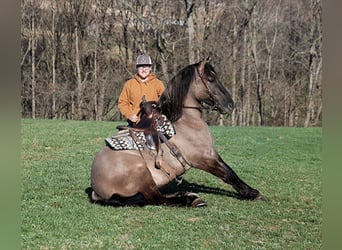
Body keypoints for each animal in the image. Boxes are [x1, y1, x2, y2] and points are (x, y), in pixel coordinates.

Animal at [89, 57, 264, 207]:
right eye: (211, 79)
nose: (229, 104)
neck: (186, 121)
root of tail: (96, 188)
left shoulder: (211, 153)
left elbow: (229, 170)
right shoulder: (203, 159)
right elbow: (228, 175)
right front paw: (253, 193)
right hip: (141, 172)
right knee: (156, 199)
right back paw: (188, 199)